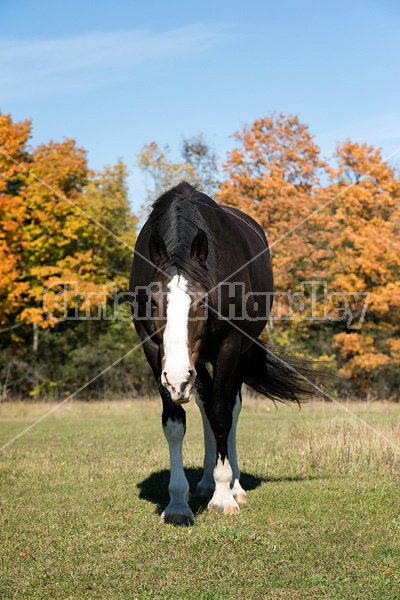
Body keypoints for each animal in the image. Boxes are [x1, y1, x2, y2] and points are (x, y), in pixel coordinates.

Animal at [130, 183, 320, 524]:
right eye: (152, 302)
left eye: (202, 302)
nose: (177, 380)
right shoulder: (153, 351)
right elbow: (174, 423)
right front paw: (177, 503)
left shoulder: (230, 348)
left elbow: (222, 417)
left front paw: (223, 496)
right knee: (206, 402)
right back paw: (205, 483)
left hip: (234, 356)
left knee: (230, 407)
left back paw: (234, 486)